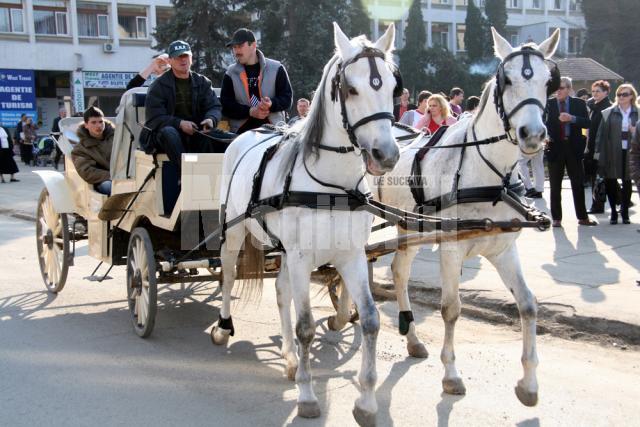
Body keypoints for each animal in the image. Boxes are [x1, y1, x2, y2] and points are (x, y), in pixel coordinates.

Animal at [212, 24, 398, 427]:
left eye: (393, 85)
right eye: (350, 88)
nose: (386, 155)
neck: (332, 187)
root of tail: (247, 134)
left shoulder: (350, 256)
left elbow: (370, 320)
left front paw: (366, 401)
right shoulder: (300, 257)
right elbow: (306, 326)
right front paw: (308, 396)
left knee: (281, 292)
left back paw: (289, 358)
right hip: (233, 233)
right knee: (229, 276)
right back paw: (223, 327)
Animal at [332, 27, 556, 408]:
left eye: (546, 82)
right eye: (508, 80)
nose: (533, 134)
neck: (487, 176)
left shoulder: (502, 250)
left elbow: (528, 305)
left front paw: (529, 383)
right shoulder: (451, 250)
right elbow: (451, 309)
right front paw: (451, 375)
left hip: (407, 223)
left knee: (397, 271)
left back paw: (407, 335)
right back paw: (347, 312)